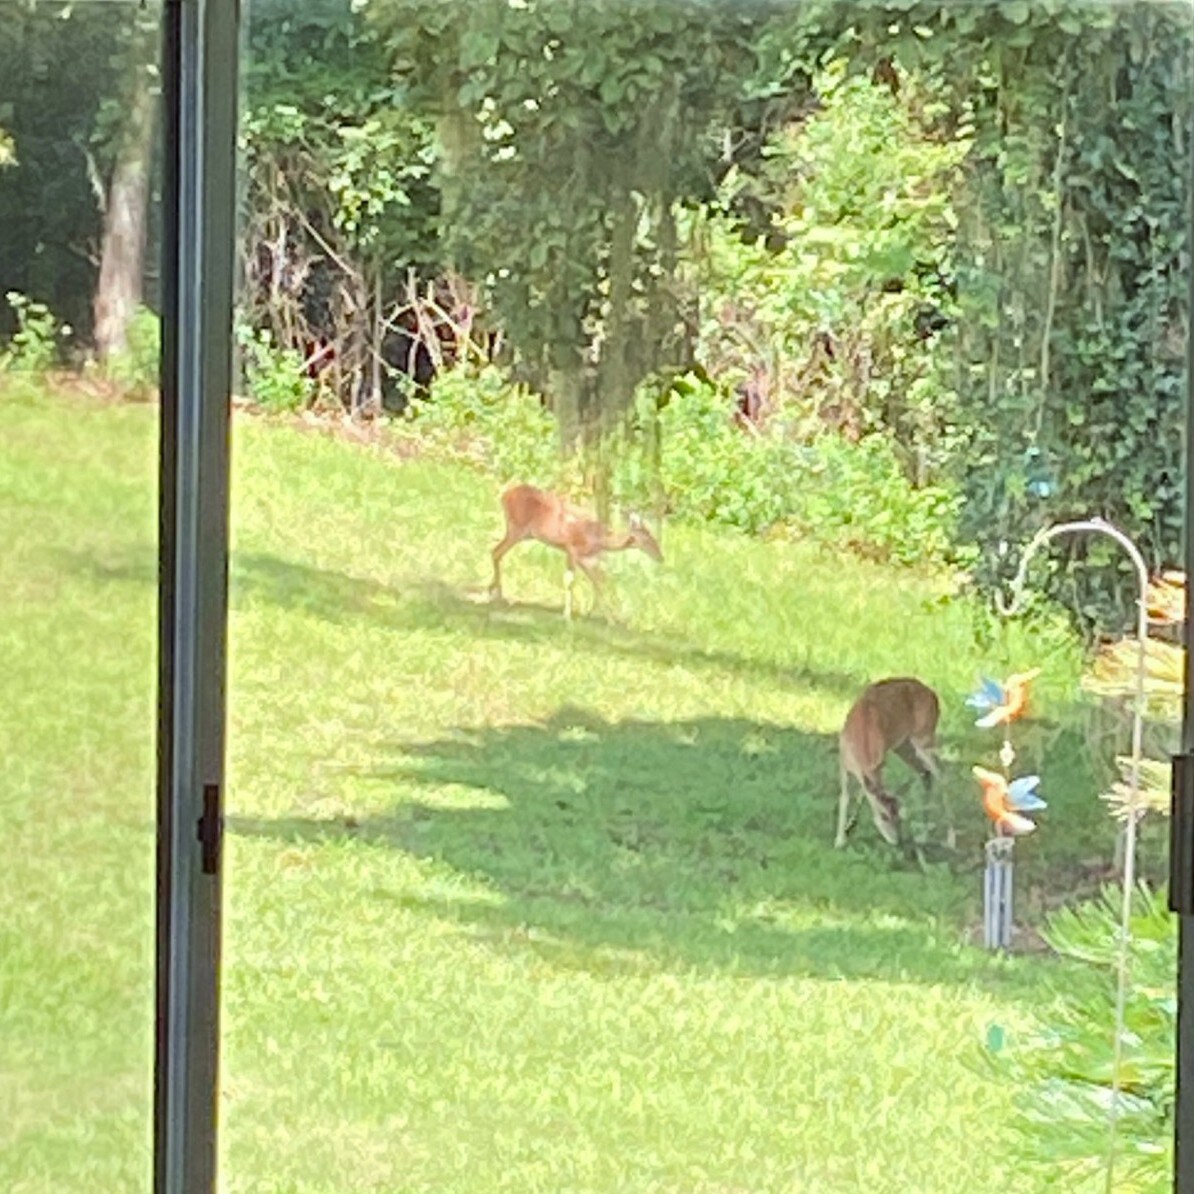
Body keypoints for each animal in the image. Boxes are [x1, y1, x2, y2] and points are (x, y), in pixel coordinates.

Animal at [489, 482, 668, 620]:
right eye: (648, 539)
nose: (661, 557)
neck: (599, 539)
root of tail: (504, 495)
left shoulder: (586, 559)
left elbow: (598, 582)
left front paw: (609, 618)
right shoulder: (572, 549)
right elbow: (571, 580)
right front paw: (568, 615)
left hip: (523, 533)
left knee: (495, 551)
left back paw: (494, 592)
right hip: (517, 528)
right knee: (496, 551)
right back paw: (497, 596)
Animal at [835, 678, 945, 854]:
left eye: (898, 817)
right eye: (884, 816)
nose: (897, 841)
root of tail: (933, 695)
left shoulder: (880, 762)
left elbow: (865, 792)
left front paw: (846, 832)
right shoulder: (844, 762)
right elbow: (846, 797)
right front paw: (842, 837)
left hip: (924, 737)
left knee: (940, 774)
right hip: (904, 746)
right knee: (926, 773)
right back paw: (925, 833)